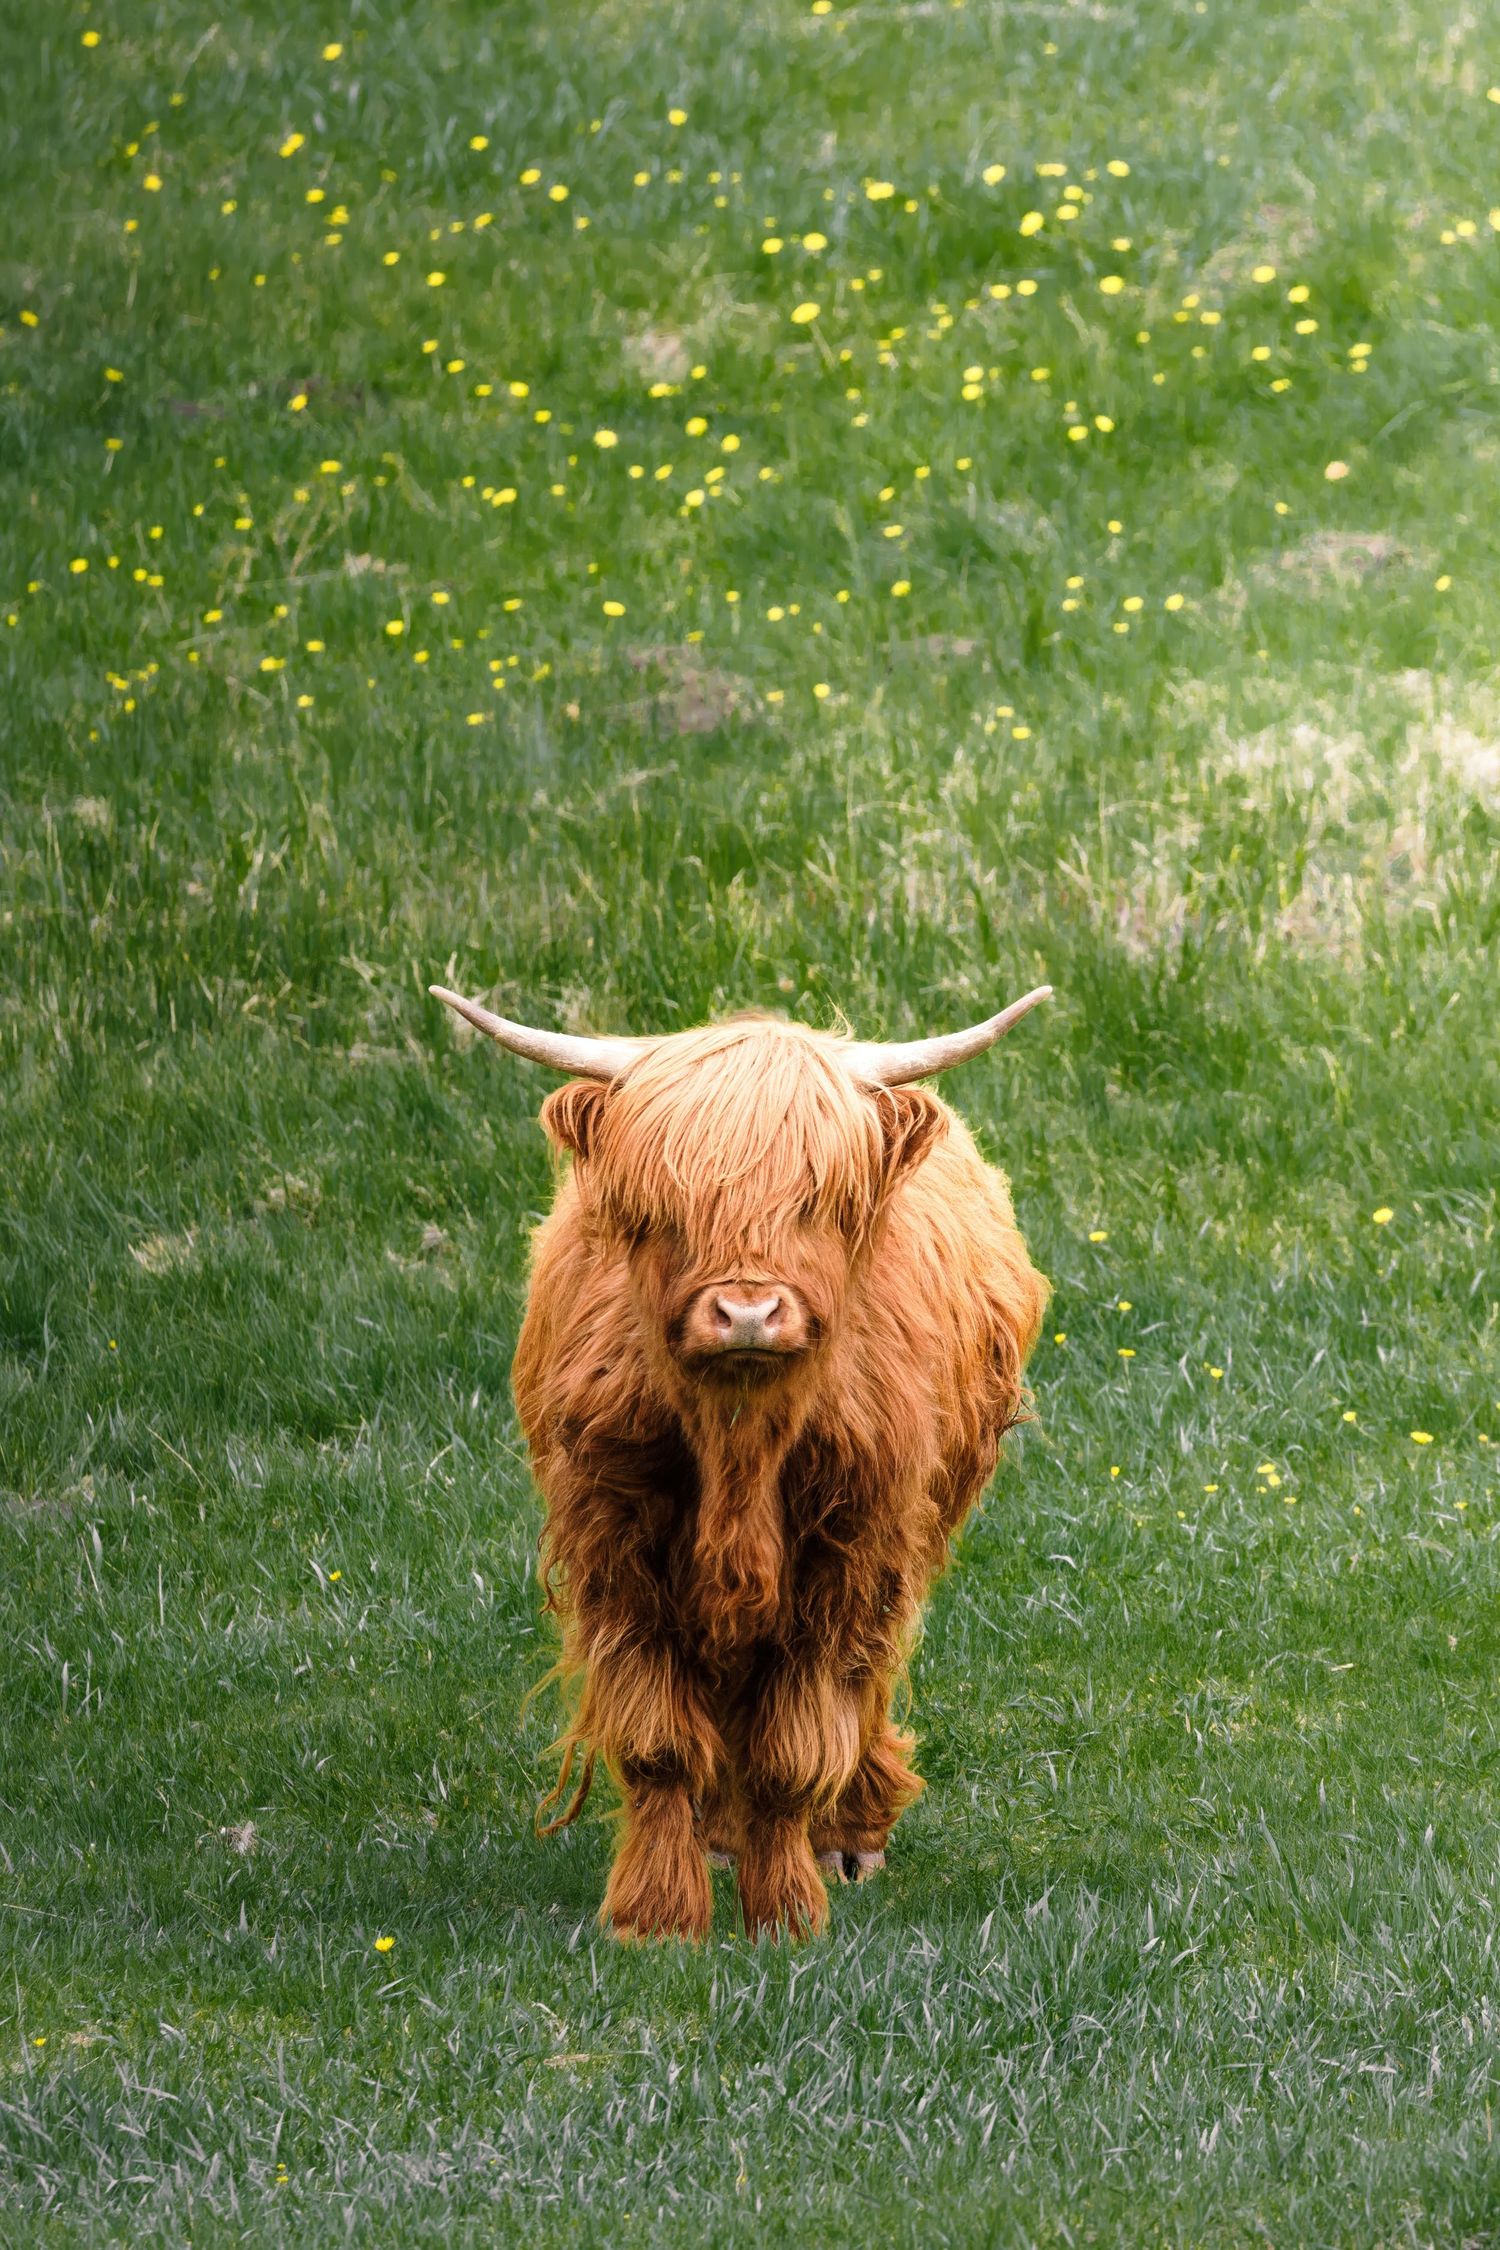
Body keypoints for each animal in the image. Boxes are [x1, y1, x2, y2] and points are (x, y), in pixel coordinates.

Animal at [431, 981, 1051, 1941]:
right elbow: (656, 1741)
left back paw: (849, 1838)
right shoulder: (617, 1550)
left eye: (816, 1201)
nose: (748, 1312)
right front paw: (656, 1916)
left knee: (867, 1684)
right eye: (668, 1206)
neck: (739, 1447)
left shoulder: (849, 1557)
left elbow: (794, 1746)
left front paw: (787, 1910)